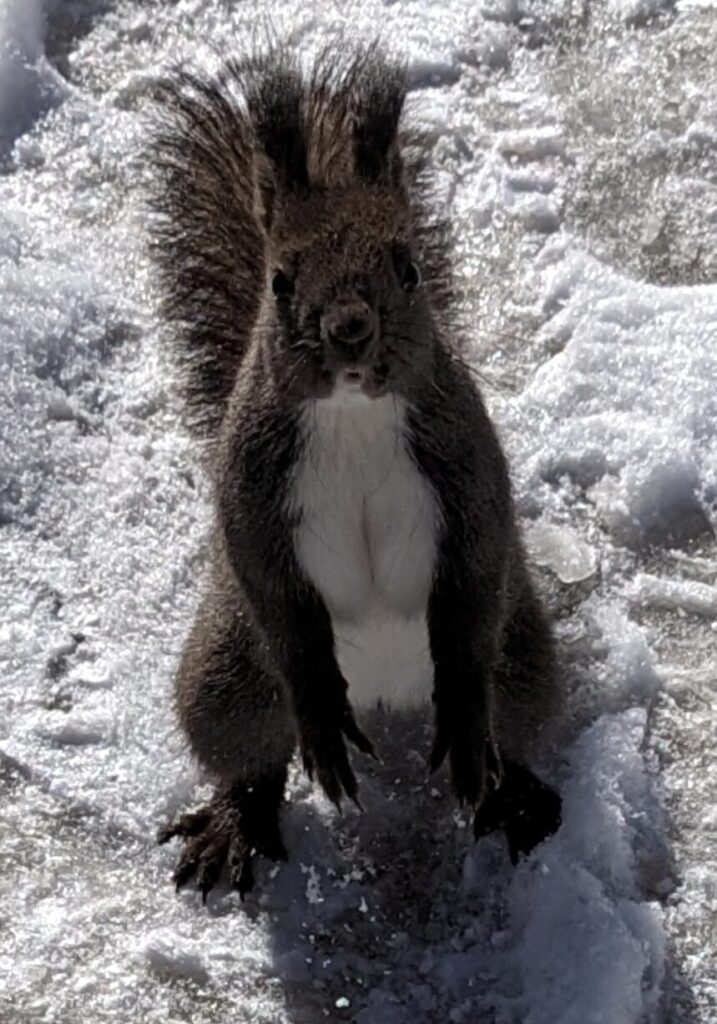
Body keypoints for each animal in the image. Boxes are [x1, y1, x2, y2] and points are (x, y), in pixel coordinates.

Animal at [145, 44, 561, 901]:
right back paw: (235, 822)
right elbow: (274, 590)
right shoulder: (251, 486)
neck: (351, 420)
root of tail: (385, 695)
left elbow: (474, 576)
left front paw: (465, 724)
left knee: (513, 717)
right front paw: (316, 719)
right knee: (249, 755)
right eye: (278, 281)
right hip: (229, 677)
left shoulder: (468, 465)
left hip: (522, 660)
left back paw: (512, 793)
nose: (348, 330)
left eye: (408, 269)